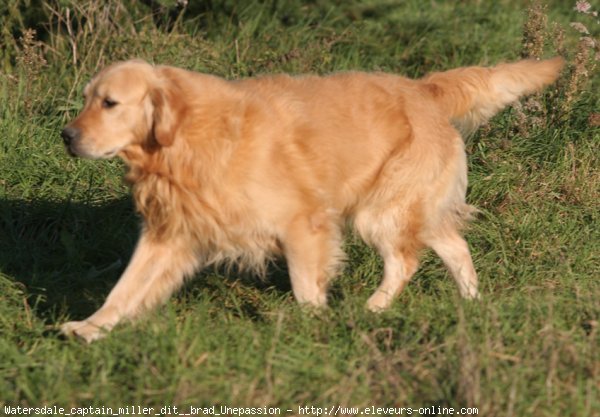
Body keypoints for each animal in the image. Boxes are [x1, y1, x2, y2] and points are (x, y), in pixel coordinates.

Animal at [59, 56, 564, 342]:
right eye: (86, 99)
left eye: (109, 103)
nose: (66, 136)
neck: (186, 138)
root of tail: (423, 88)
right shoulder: (170, 234)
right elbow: (124, 288)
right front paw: (90, 328)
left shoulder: (304, 224)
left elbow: (305, 288)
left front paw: (312, 331)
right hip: (411, 208)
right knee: (456, 247)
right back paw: (472, 306)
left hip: (380, 211)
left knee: (405, 261)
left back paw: (372, 310)